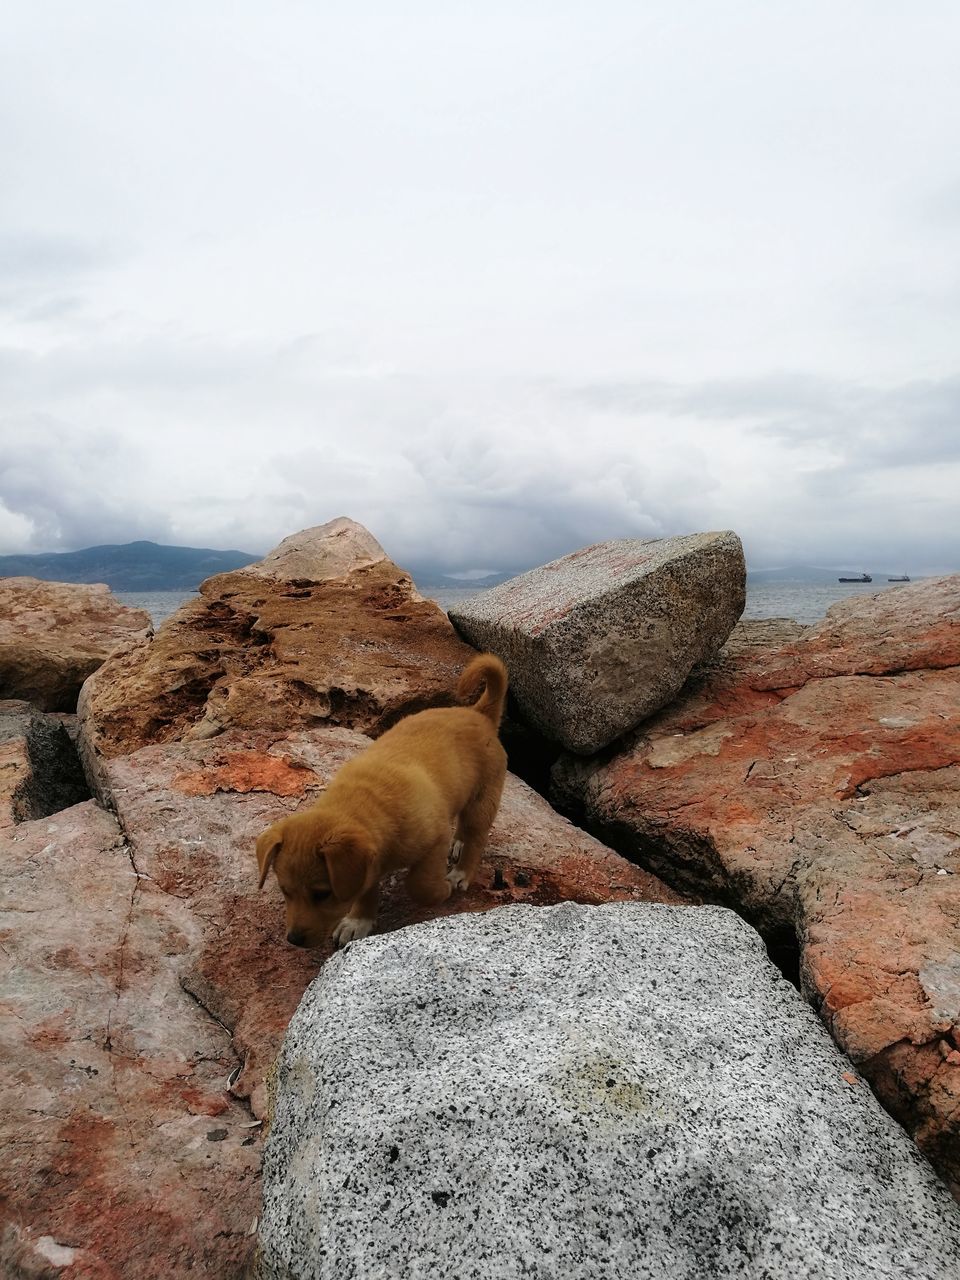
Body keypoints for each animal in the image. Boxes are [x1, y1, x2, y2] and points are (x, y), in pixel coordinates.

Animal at [256, 655, 512, 947]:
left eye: (322, 894)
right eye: (285, 891)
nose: (294, 939)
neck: (364, 803)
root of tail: (478, 713)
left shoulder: (433, 839)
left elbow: (420, 885)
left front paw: (442, 890)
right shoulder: (368, 863)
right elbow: (366, 888)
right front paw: (359, 921)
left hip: (484, 797)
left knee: (477, 837)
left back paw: (461, 873)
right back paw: (458, 841)